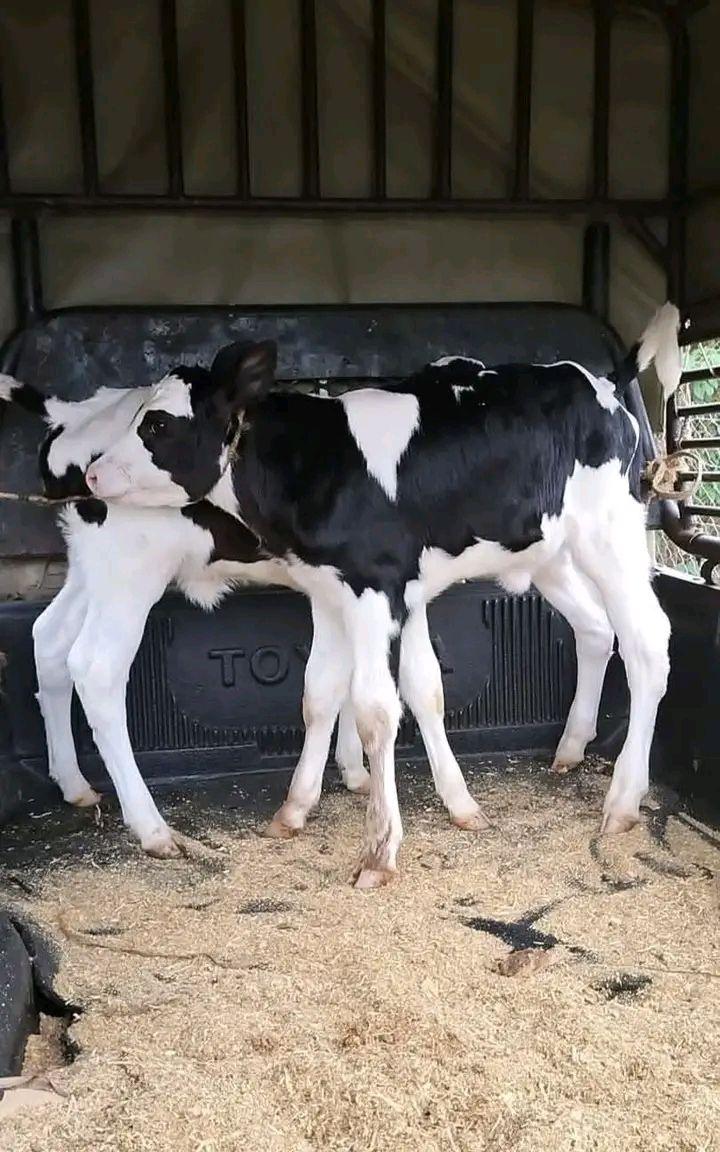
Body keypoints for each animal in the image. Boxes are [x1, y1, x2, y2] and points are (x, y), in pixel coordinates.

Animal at [79, 304, 682, 888]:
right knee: (596, 629)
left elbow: (375, 709)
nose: (91, 473)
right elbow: (320, 693)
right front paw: (295, 809)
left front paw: (379, 849)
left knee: (647, 642)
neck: (311, 463)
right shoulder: (329, 590)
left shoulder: (375, 586)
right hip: (550, 553)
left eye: (158, 423)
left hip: (610, 534)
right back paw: (571, 748)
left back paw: (623, 800)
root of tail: (600, 380)